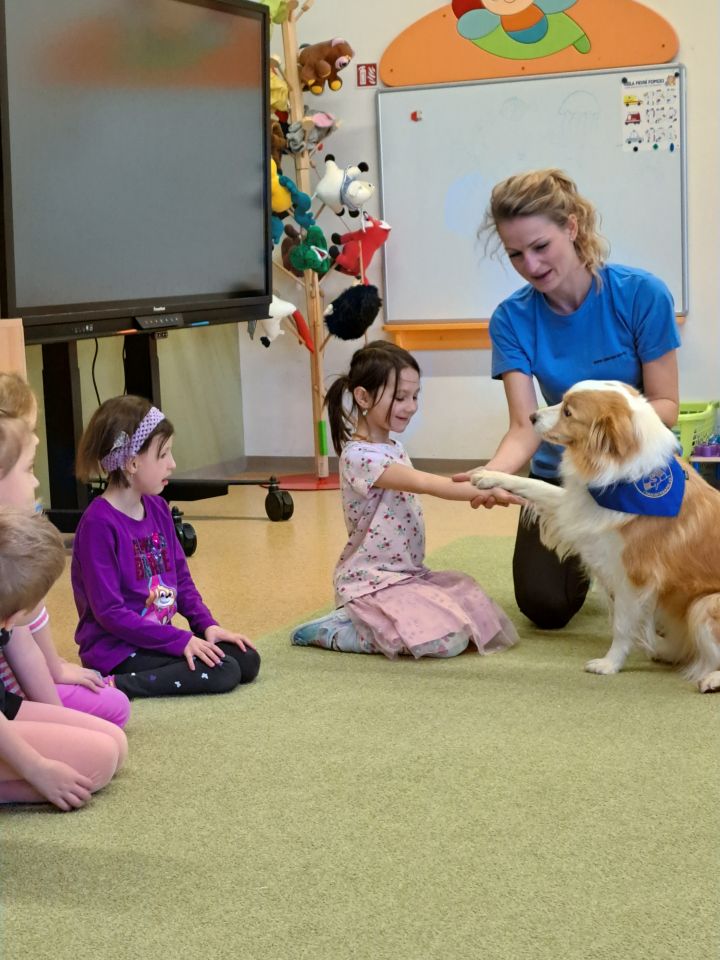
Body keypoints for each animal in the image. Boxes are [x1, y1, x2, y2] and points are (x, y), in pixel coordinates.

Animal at [472, 380, 720, 688]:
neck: (626, 481)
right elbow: (533, 485)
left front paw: (610, 664)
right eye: (562, 402)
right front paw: (489, 476)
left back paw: (709, 677)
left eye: (568, 412)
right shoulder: (577, 506)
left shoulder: (632, 577)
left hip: (705, 604)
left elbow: (622, 626)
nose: (531, 417)